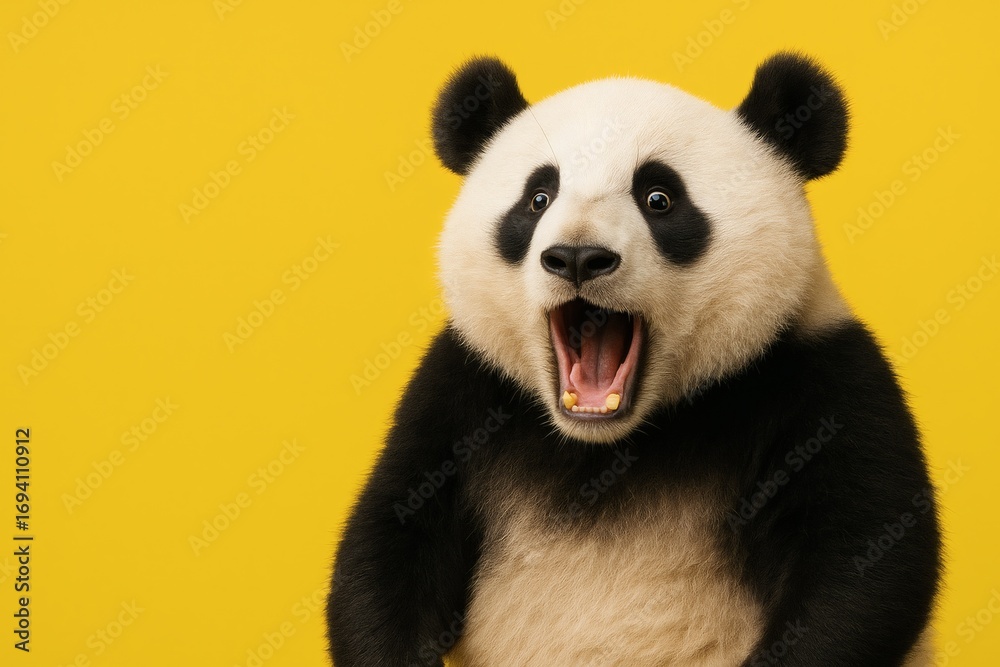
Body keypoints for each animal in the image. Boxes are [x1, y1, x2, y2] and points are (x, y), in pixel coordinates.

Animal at [327, 53, 942, 666]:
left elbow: (864, 561)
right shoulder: (462, 390)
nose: (577, 256)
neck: (605, 444)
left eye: (659, 199)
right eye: (538, 198)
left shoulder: (820, 381)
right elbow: (390, 539)